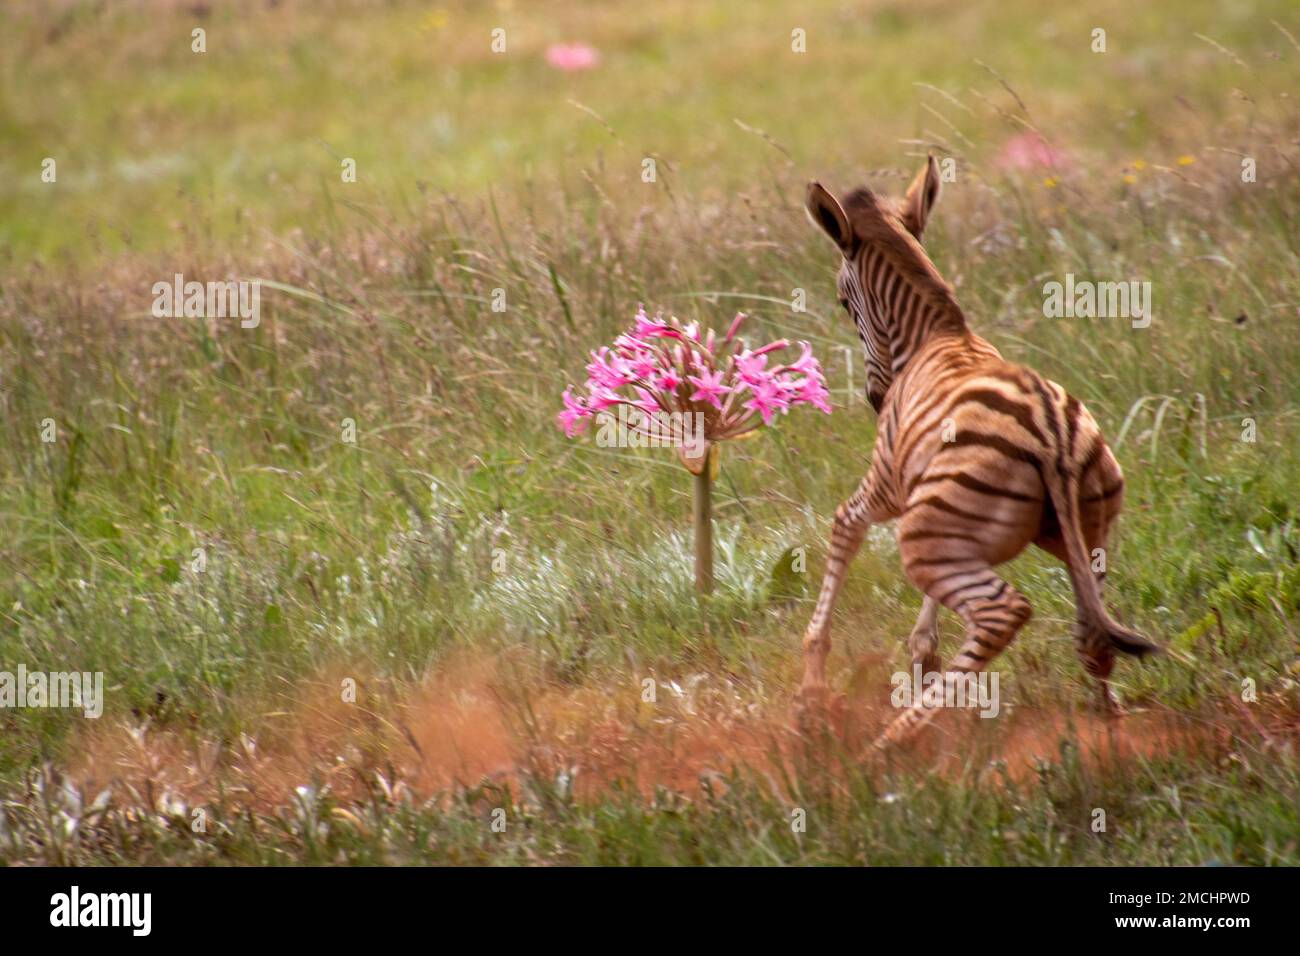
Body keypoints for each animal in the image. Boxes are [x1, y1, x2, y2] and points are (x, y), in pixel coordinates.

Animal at [799, 155, 1157, 748]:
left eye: (843, 303)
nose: (876, 399)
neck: (937, 333)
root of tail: (1050, 433)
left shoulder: (889, 485)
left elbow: (843, 524)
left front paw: (812, 683)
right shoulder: (940, 511)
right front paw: (922, 654)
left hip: (924, 536)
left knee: (1002, 614)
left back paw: (892, 741)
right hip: (1084, 537)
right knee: (1094, 636)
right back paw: (1110, 727)